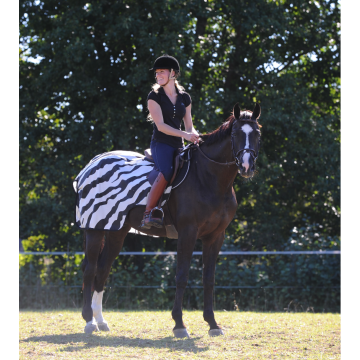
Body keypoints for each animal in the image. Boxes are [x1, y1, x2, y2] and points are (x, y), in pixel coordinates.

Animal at [79, 102, 262, 338]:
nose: (247, 166)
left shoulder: (215, 237)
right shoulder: (188, 233)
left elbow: (209, 279)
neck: (208, 177)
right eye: (236, 133)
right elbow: (181, 276)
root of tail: (91, 165)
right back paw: (88, 321)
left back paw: (100, 321)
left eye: (257, 133)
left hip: (116, 231)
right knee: (90, 270)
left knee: (102, 270)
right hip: (95, 229)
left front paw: (212, 324)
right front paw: (179, 324)